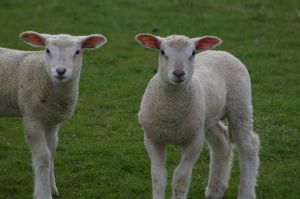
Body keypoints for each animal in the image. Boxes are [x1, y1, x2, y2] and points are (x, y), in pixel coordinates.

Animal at [0, 31, 107, 199]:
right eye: (48, 50)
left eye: (77, 51)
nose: (61, 71)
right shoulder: (32, 119)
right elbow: (43, 157)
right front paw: (43, 193)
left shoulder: (52, 121)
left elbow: (51, 153)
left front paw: (52, 189)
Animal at [136, 33, 260, 198]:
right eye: (162, 52)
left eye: (193, 52)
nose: (179, 73)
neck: (171, 112)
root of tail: (219, 52)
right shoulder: (152, 138)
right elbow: (158, 177)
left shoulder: (194, 141)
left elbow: (180, 178)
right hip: (207, 118)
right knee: (221, 142)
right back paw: (215, 190)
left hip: (240, 106)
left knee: (248, 147)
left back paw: (246, 192)